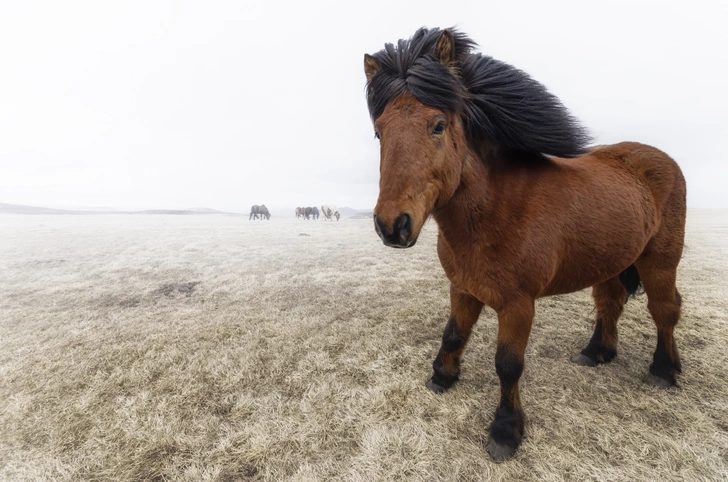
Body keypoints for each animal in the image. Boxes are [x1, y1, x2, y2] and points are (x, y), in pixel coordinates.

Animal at [366, 28, 684, 462]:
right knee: (611, 303)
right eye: (379, 131)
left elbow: (508, 364)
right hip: (611, 261)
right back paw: (596, 352)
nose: (391, 225)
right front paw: (442, 377)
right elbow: (453, 335)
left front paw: (505, 431)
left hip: (660, 262)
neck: (495, 209)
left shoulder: (517, 304)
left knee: (664, 310)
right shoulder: (463, 289)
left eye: (438, 125)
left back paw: (664, 371)